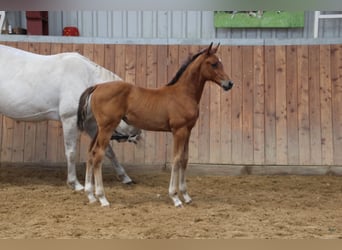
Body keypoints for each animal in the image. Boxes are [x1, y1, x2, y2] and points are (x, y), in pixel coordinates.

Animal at [0, 44, 142, 189]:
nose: (138, 137)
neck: (86, 78)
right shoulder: (70, 119)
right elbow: (71, 152)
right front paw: (74, 183)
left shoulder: (90, 124)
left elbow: (108, 150)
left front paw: (125, 178)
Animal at [77, 43, 232, 207]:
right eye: (214, 64)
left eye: (221, 62)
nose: (229, 84)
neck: (183, 94)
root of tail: (97, 86)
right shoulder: (179, 131)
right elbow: (176, 159)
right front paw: (175, 197)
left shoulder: (188, 130)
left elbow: (185, 158)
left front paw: (186, 195)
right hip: (107, 128)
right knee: (98, 155)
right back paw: (102, 198)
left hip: (98, 129)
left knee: (91, 153)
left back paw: (91, 195)